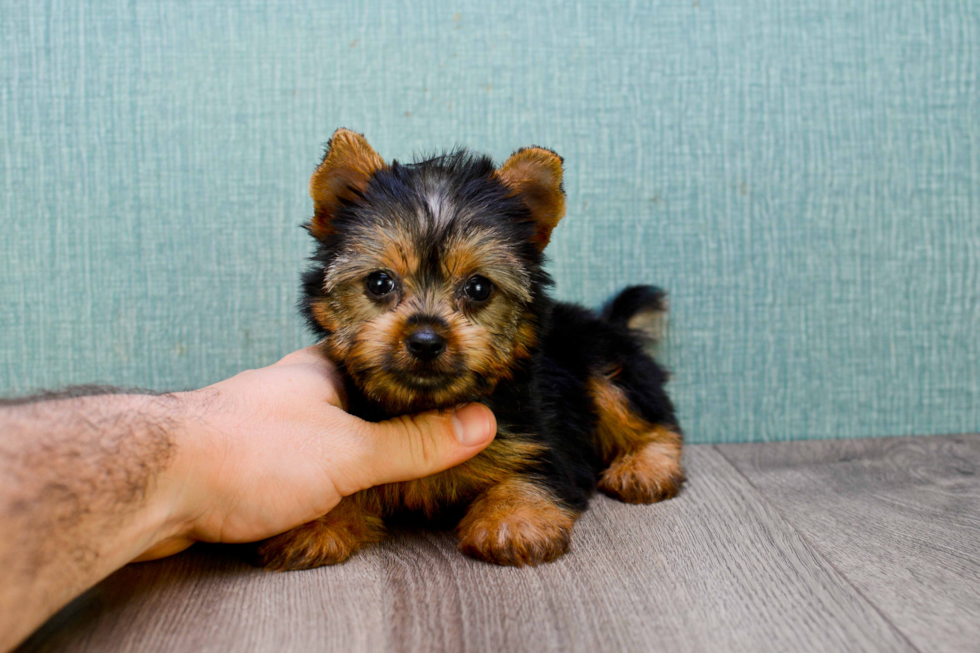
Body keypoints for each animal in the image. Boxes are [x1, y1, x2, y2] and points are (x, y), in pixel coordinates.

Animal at [258, 130, 688, 568]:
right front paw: (316, 521)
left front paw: (514, 520)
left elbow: (532, 473)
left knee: (652, 419)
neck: (428, 404)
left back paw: (645, 468)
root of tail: (606, 322)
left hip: (601, 364)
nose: (425, 340)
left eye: (479, 288)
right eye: (379, 283)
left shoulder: (541, 436)